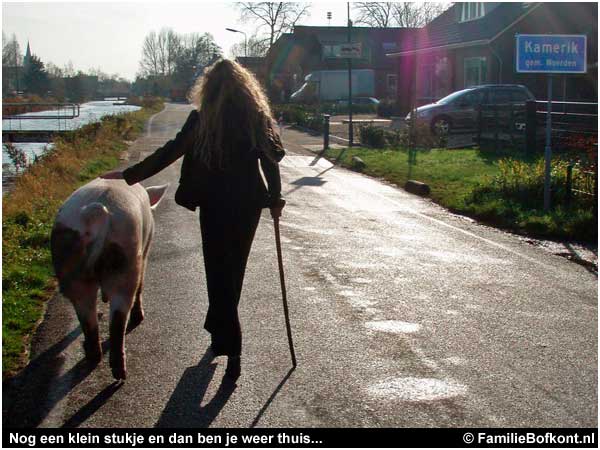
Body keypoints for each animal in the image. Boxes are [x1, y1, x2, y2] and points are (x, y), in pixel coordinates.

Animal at [51, 179, 169, 380]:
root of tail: (97, 211)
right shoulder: (145, 252)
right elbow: (141, 284)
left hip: (72, 266)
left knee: (87, 317)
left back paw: (93, 357)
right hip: (126, 259)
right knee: (119, 319)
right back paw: (120, 373)